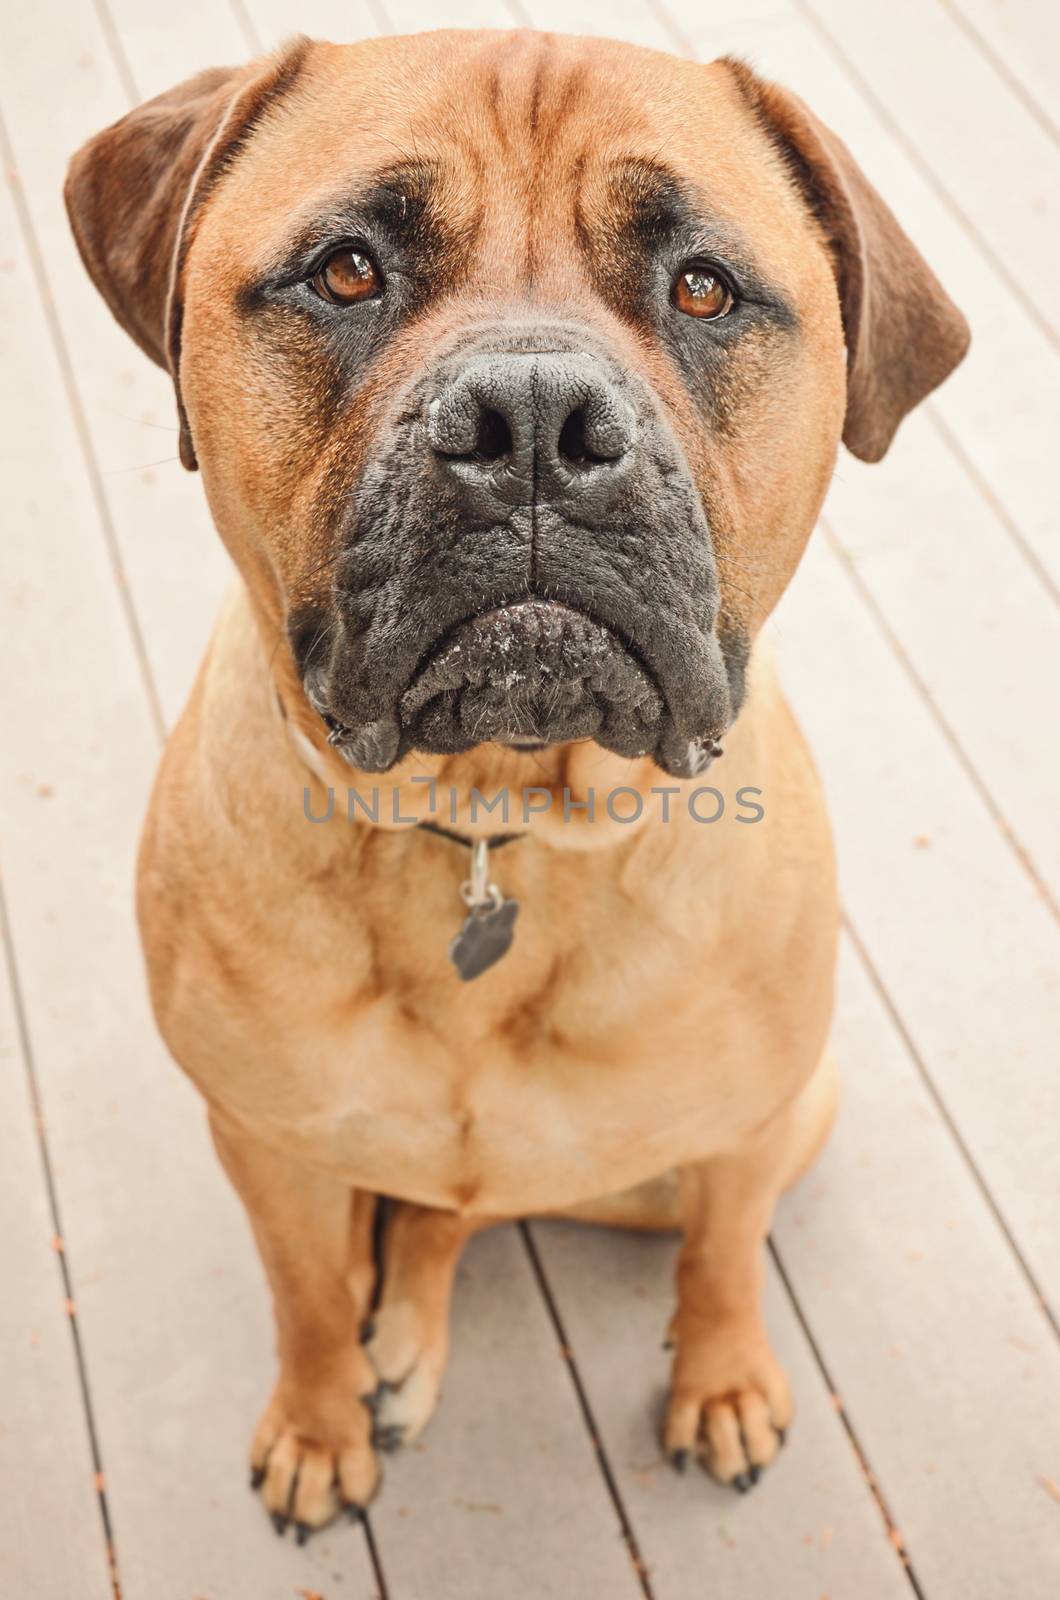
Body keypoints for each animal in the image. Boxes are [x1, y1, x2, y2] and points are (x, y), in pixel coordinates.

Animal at [66, 25, 973, 1536]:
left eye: (704, 286)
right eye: (347, 269)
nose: (536, 419)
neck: (496, 821)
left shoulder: (751, 1125)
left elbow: (726, 1252)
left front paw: (722, 1378)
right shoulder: (263, 1141)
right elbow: (300, 1292)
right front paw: (319, 1416)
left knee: (484, 1204)